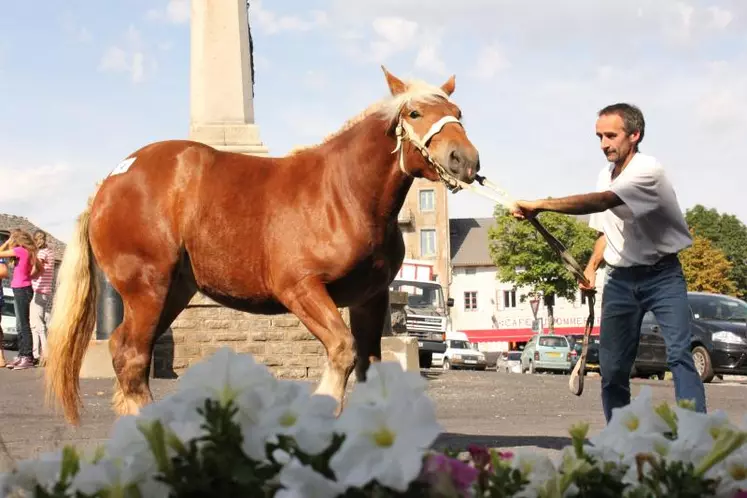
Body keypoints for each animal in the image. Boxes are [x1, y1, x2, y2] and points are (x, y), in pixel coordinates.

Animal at [46, 66, 482, 424]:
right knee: (132, 356)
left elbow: (369, 363)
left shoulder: (369, 297)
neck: (344, 193)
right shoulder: (300, 288)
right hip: (146, 287)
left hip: (173, 290)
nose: (464, 160)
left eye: (459, 113)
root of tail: (109, 183)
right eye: (414, 113)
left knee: (127, 348)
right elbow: (342, 349)